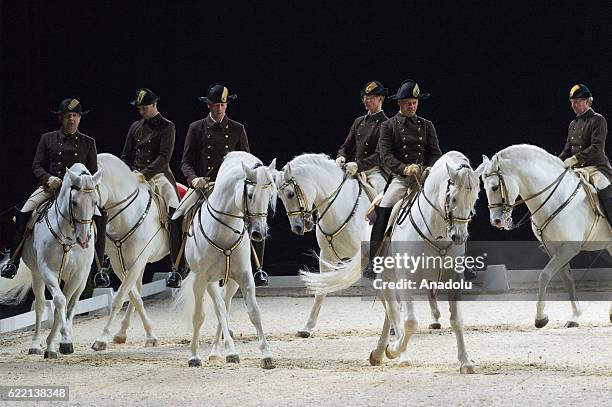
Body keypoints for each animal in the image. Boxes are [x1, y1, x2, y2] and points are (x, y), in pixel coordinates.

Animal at [0, 164, 101, 358]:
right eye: (74, 202)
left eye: (95, 202)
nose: (84, 240)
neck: (68, 235)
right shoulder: (47, 271)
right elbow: (59, 301)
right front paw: (65, 341)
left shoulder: (77, 275)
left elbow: (66, 304)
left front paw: (63, 341)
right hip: (37, 274)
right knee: (41, 306)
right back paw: (36, 345)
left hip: (83, 279)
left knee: (72, 304)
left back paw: (53, 344)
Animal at [89, 155, 170, 352]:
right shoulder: (121, 263)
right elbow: (133, 295)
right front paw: (128, 334)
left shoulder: (138, 260)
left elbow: (120, 298)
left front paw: (102, 338)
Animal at [177, 152, 278, 370]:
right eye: (250, 195)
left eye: (269, 196)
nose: (258, 233)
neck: (223, 230)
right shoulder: (200, 279)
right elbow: (199, 317)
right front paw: (193, 356)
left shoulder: (244, 277)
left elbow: (254, 313)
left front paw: (267, 355)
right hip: (209, 281)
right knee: (219, 308)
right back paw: (221, 351)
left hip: (230, 282)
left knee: (223, 306)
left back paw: (225, 352)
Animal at [304, 152, 480, 372]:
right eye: (453, 197)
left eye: (475, 199)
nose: (459, 237)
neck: (435, 230)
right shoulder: (405, 280)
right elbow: (410, 322)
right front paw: (395, 351)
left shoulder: (454, 280)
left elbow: (457, 321)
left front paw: (465, 362)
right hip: (386, 278)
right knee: (393, 311)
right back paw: (392, 352)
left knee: (390, 312)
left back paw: (378, 353)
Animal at [478, 145, 612, 330]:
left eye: (495, 187)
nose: (497, 221)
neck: (555, 198)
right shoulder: (554, 249)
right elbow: (567, 280)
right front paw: (575, 316)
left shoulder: (569, 248)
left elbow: (544, 275)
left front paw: (540, 318)